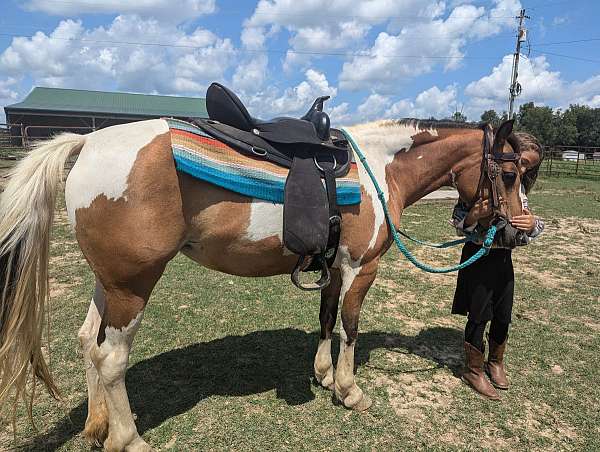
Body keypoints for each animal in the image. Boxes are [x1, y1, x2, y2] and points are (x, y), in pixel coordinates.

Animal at [0, 118, 528, 450]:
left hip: (107, 283)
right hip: (133, 286)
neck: (379, 170)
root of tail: (87, 143)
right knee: (111, 358)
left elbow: (326, 320)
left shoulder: (334, 269)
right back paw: (128, 440)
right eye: (507, 172)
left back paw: (98, 426)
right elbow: (351, 327)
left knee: (88, 342)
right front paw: (349, 390)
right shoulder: (361, 268)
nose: (517, 233)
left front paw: (323, 374)